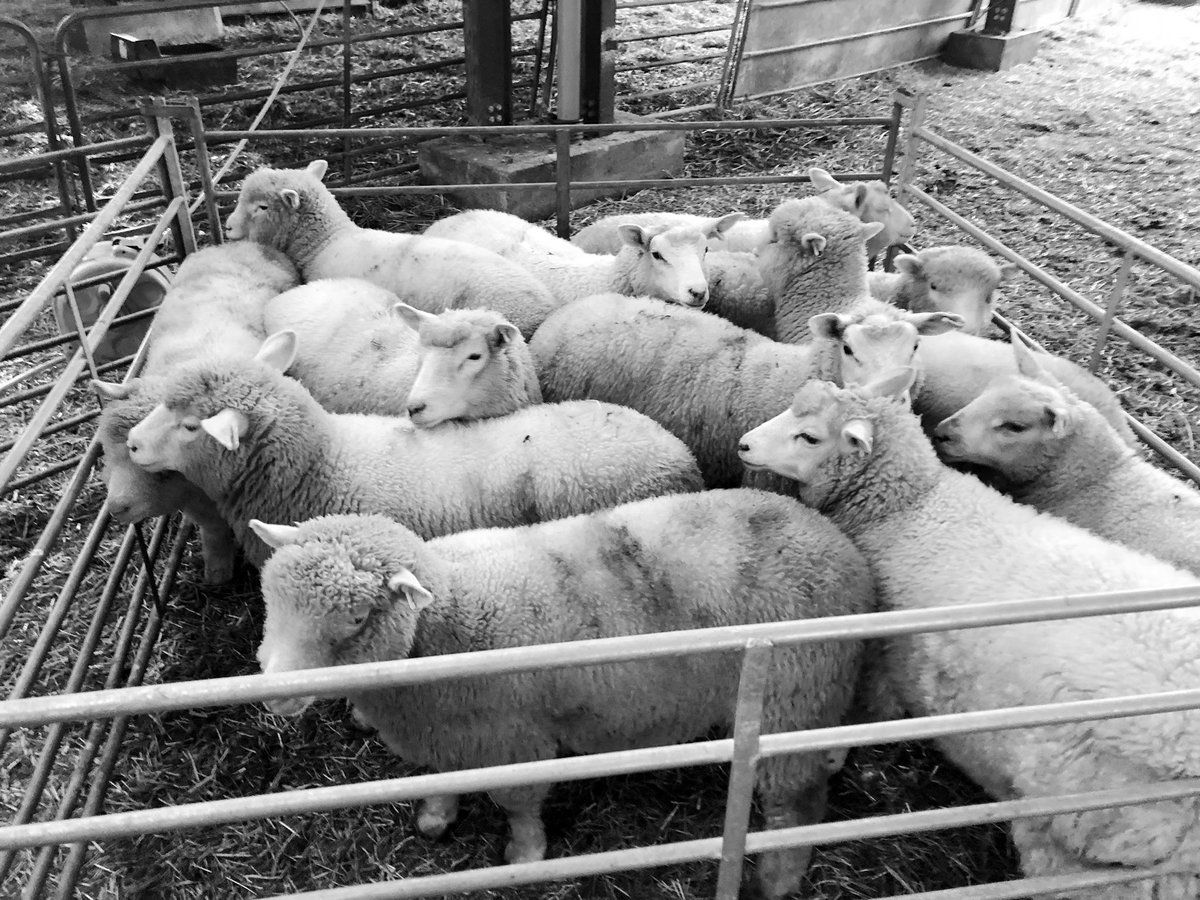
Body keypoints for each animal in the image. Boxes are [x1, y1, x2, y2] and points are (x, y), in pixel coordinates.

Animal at [91, 241, 301, 583]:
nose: (116, 508)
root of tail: (237, 244)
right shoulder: (197, 502)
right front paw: (217, 572)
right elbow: (214, 532)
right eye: (108, 452)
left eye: (161, 474)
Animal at [250, 489, 874, 898]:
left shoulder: (515, 739)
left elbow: (517, 805)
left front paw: (525, 856)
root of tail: (837, 543)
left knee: (797, 799)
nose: (275, 694)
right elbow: (442, 780)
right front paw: (435, 817)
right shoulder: (451, 730)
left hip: (793, 694)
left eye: (356, 617)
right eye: (269, 596)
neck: (452, 614)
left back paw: (778, 878)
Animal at [737, 369, 1200, 899]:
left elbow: (861, 715)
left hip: (1089, 842)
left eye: (810, 436)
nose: (744, 445)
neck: (910, 506)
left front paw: (835, 756)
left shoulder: (880, 659)